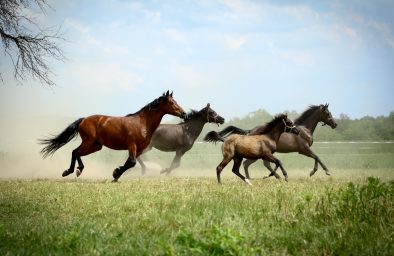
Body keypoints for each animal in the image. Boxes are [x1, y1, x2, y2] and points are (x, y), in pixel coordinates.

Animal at [39, 91, 187, 181]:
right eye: (172, 102)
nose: (184, 114)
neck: (142, 122)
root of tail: (83, 120)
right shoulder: (132, 145)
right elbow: (132, 162)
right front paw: (116, 173)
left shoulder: (139, 148)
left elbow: (129, 163)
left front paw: (116, 173)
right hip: (88, 142)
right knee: (75, 152)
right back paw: (72, 171)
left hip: (96, 146)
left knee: (77, 152)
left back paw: (75, 170)